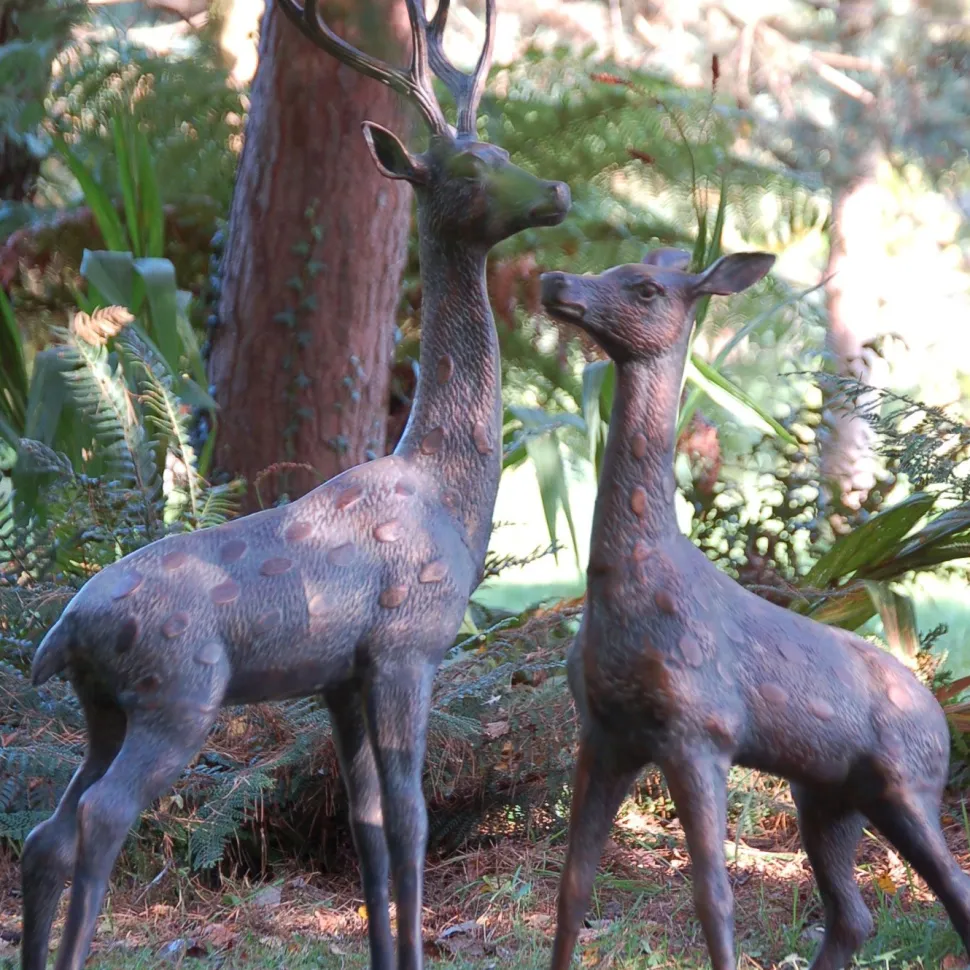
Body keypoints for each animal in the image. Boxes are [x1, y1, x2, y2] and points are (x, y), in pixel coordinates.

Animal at [21, 3, 570, 968]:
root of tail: (65, 633)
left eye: (503, 147)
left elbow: (368, 827)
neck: (449, 489)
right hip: (178, 690)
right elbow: (413, 819)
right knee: (101, 818)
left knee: (42, 833)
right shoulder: (405, 647)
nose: (555, 191)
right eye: (470, 171)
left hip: (104, 709)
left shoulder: (339, 678)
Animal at [539, 247, 970, 970]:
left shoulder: (702, 729)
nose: (554, 281)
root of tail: (940, 718)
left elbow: (713, 896)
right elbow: (573, 888)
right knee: (853, 917)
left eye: (647, 288)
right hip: (827, 796)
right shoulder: (604, 730)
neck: (631, 586)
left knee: (950, 896)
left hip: (908, 784)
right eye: (613, 268)